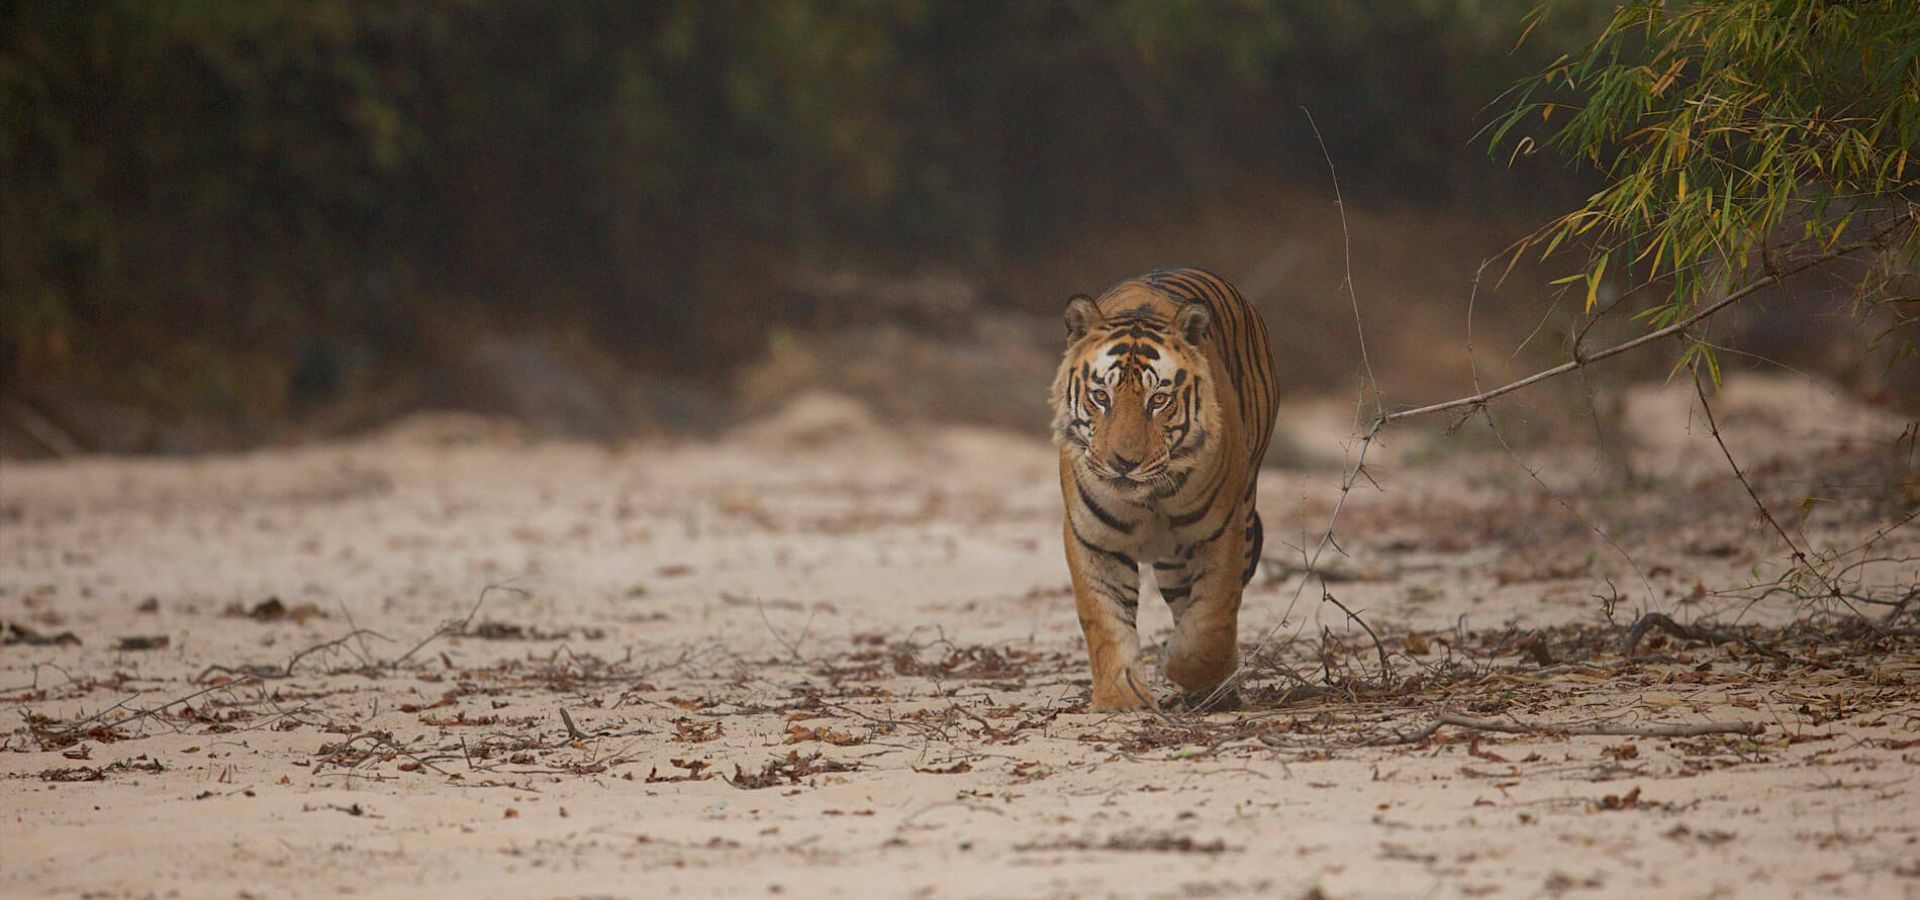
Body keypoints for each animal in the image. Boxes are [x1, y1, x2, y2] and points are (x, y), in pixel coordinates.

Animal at [1049, 267, 1279, 711]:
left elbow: (1212, 620)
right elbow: (1104, 620)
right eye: (1100, 396)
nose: (1124, 462)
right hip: (1173, 562)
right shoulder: (1093, 539)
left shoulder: (1220, 532)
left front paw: (1183, 666)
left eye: (1158, 400)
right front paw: (1120, 697)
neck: (1148, 500)